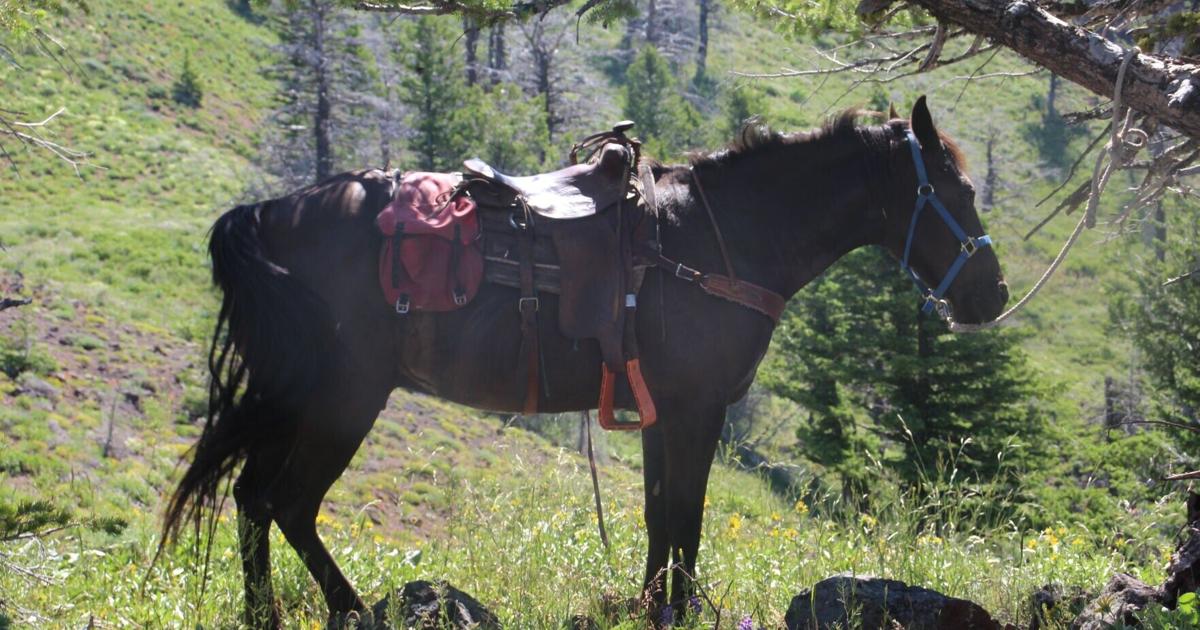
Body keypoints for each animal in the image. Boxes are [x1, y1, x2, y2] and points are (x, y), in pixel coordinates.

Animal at [162, 96, 1008, 627]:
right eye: (961, 190)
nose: (993, 295)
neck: (720, 239)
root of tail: (267, 213)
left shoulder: (666, 411)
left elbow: (663, 514)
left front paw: (657, 607)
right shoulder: (698, 408)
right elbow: (686, 514)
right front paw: (679, 610)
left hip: (293, 398)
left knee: (251, 500)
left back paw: (265, 614)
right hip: (342, 400)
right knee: (288, 503)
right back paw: (349, 609)